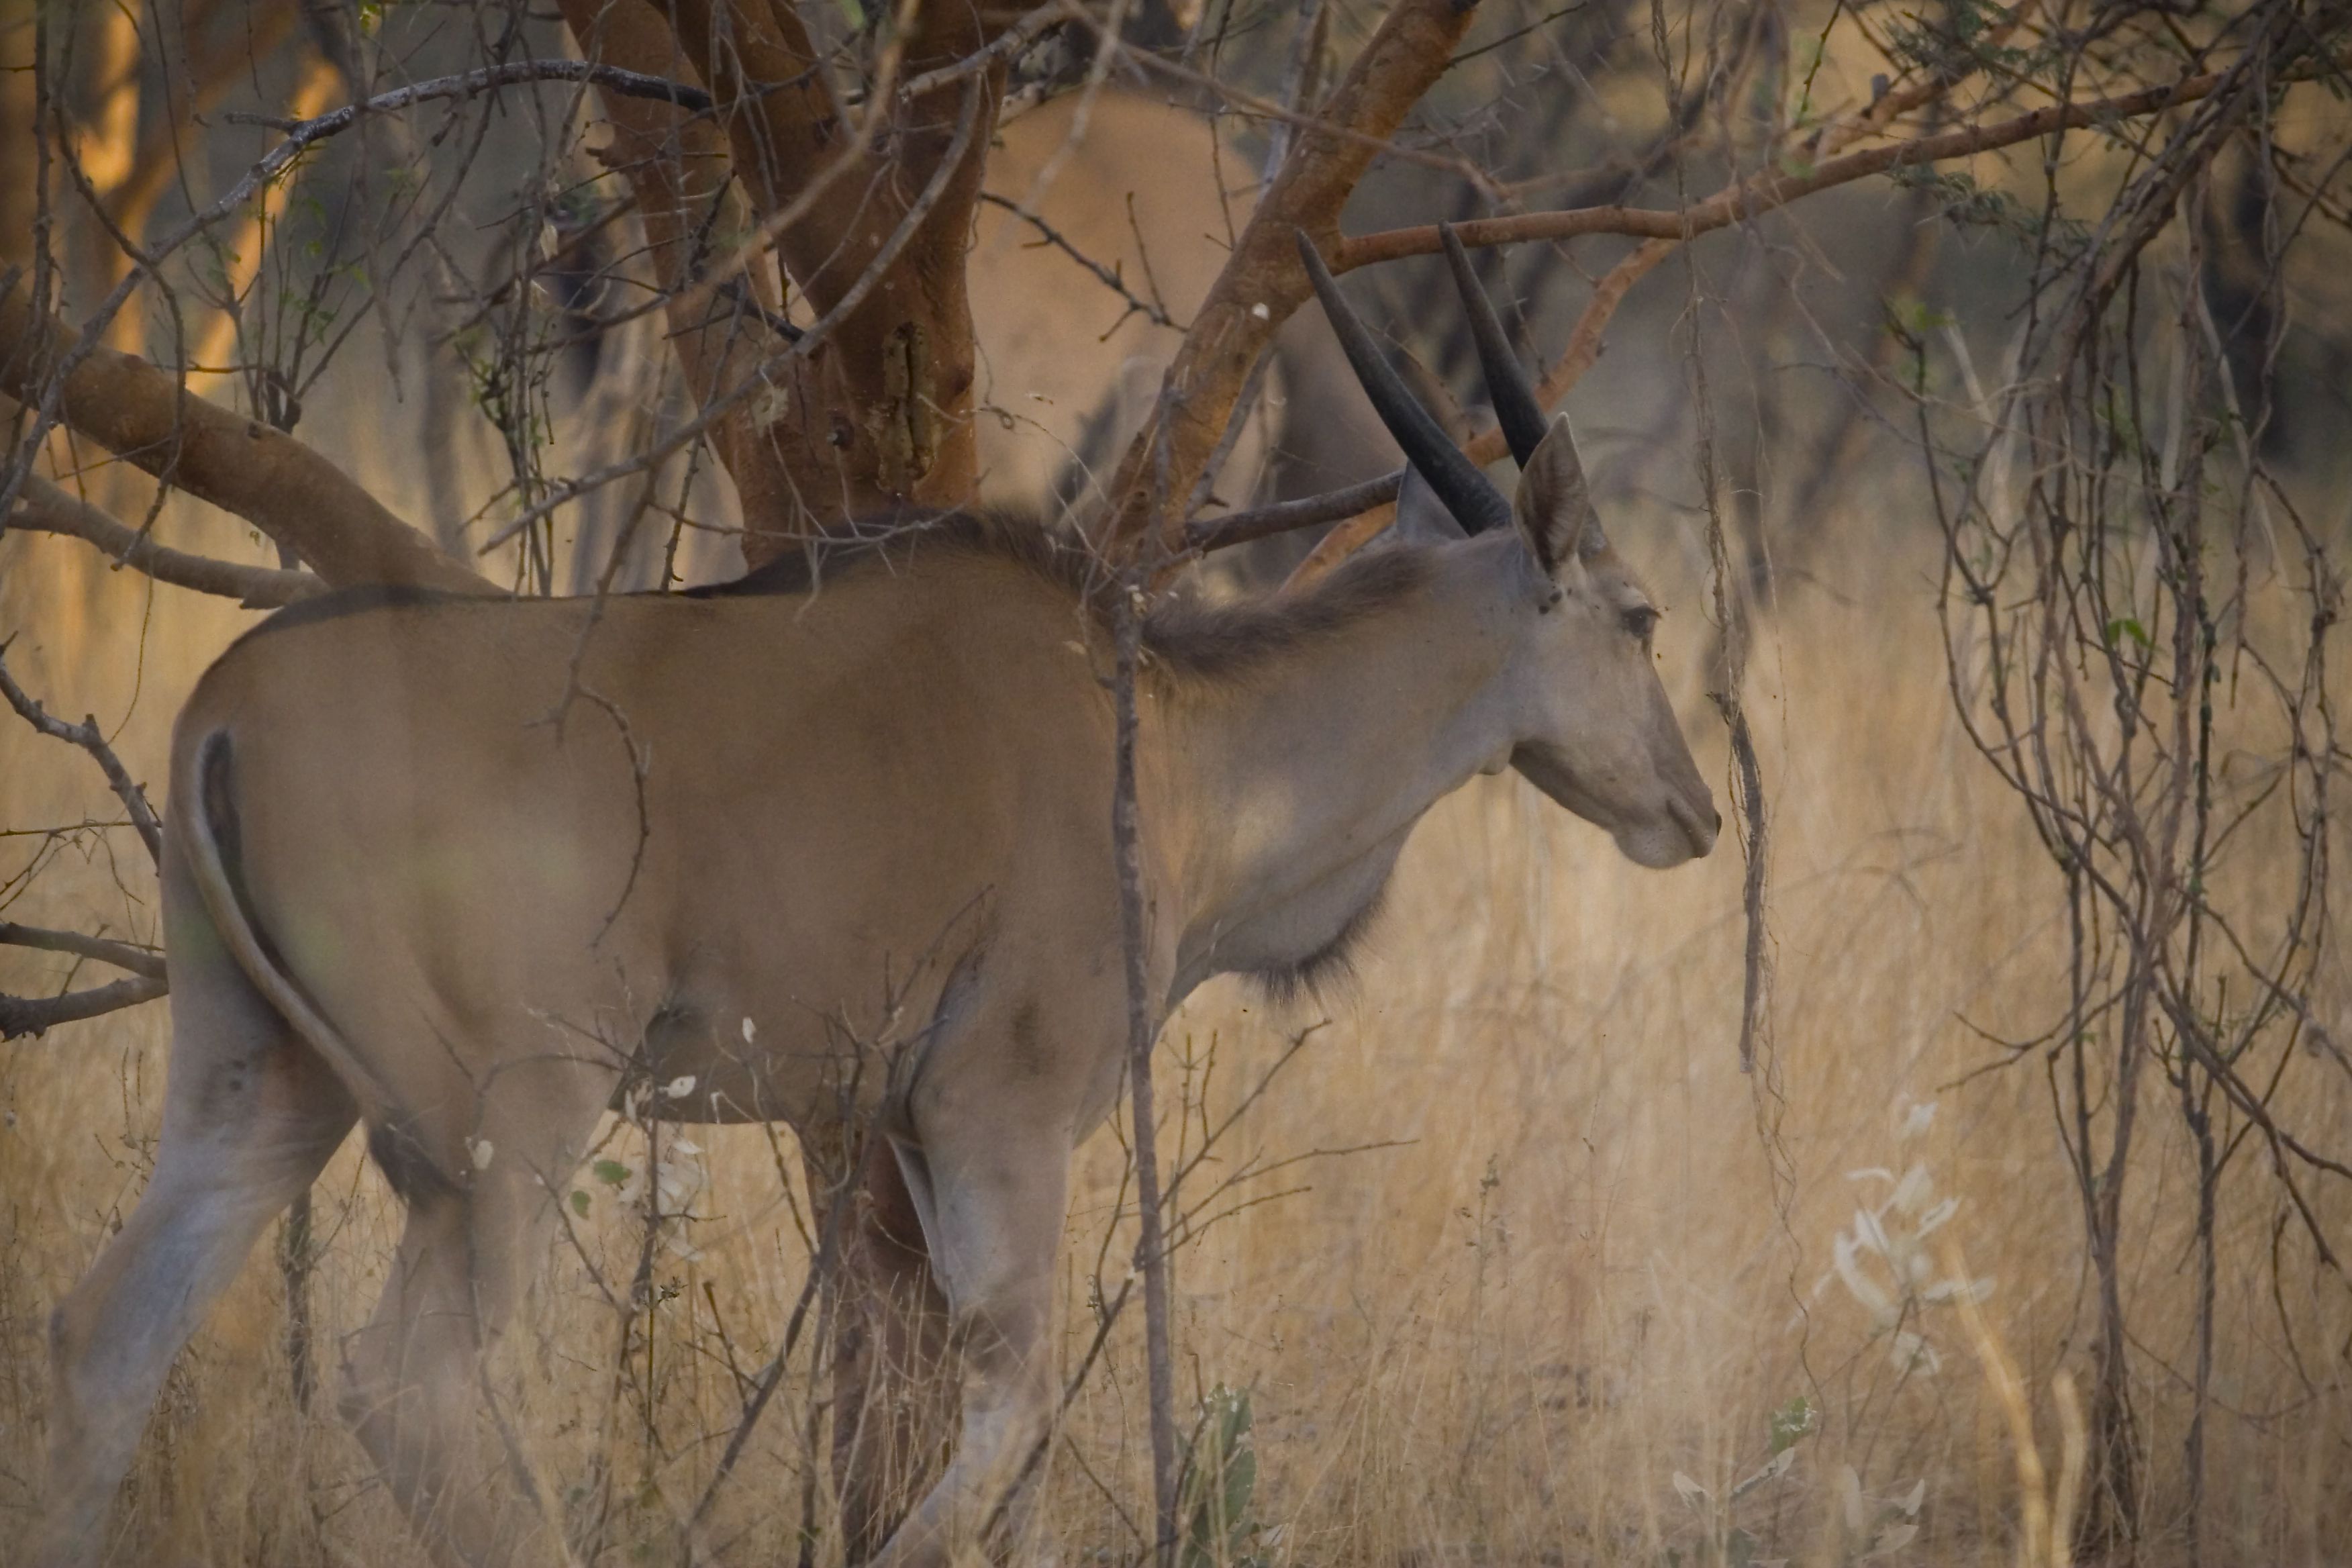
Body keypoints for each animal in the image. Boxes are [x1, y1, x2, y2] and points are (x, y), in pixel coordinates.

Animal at [36, 226, 1721, 1561]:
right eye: (1641, 616)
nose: (1695, 809)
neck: (1167, 730)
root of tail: (227, 709)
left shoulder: (913, 1123)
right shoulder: (1000, 1104)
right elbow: (1015, 1394)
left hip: (261, 1088)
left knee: (104, 1349)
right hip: (504, 1124)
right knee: (410, 1388)